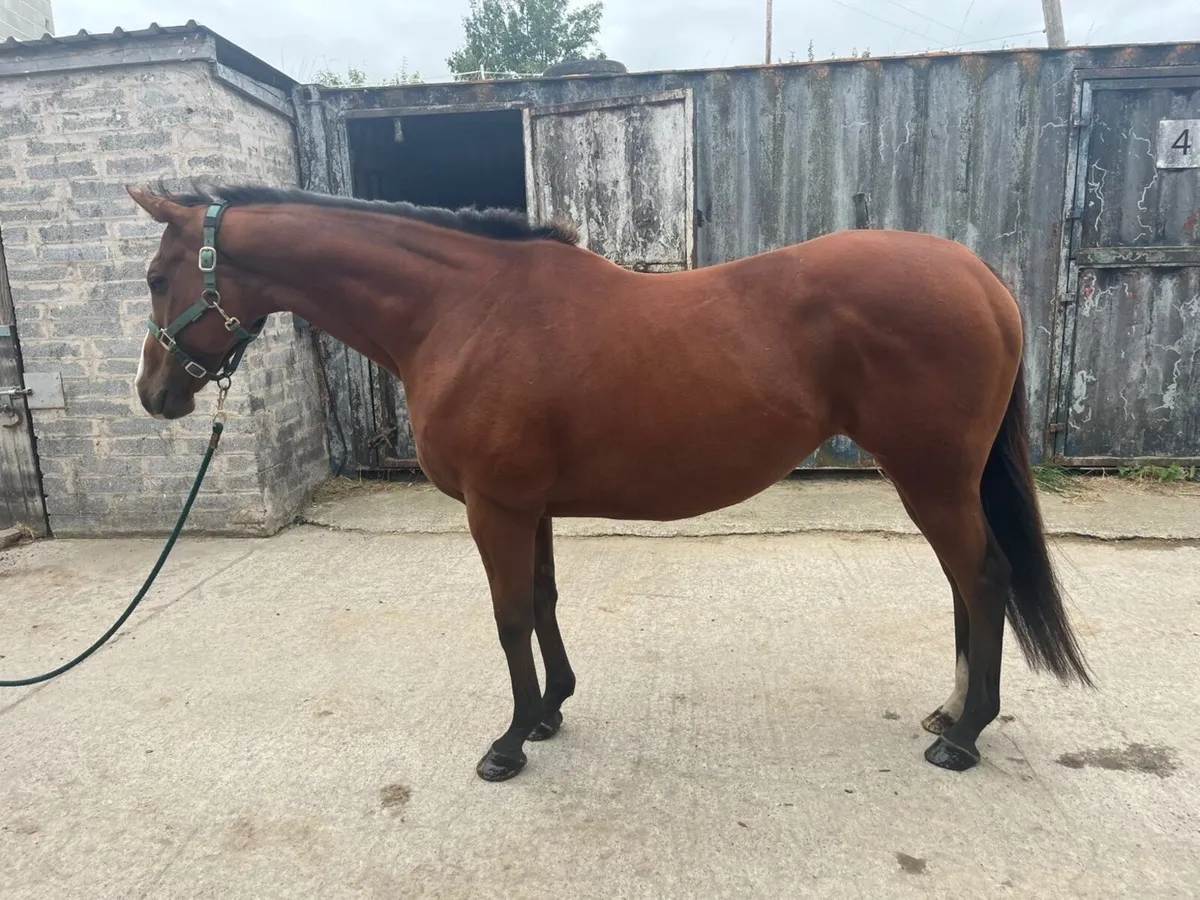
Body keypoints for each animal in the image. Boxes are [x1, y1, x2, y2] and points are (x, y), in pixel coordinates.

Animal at [126, 184, 1093, 782]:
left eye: (155, 275)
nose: (155, 393)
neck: (461, 312)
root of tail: (980, 277)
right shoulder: (529, 507)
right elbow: (545, 601)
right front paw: (551, 712)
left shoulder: (495, 509)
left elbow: (510, 616)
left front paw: (509, 744)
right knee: (966, 586)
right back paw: (950, 712)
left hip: (931, 477)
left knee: (982, 579)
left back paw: (964, 737)